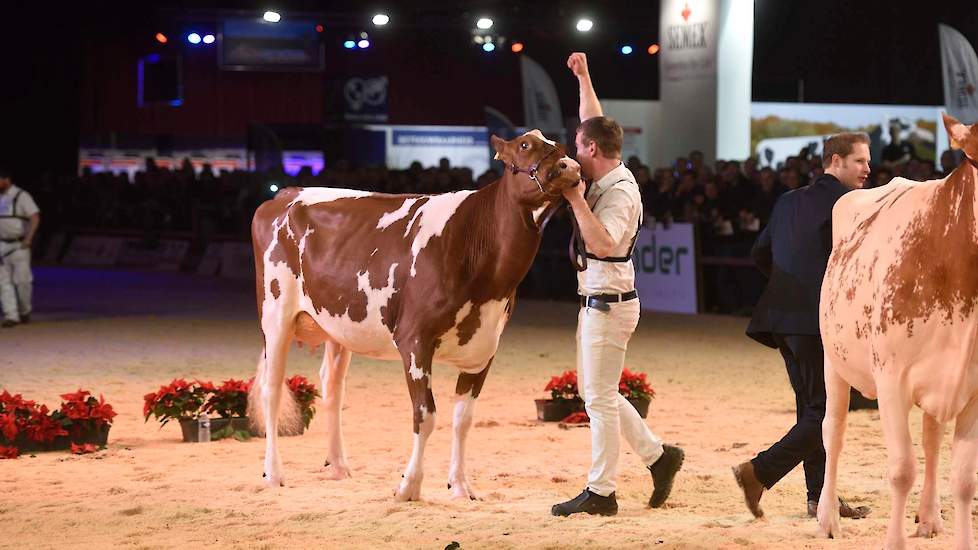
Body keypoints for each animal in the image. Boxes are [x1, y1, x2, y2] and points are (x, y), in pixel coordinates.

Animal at [248, 132, 580, 502]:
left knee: (332, 389)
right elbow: (426, 415)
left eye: (558, 143)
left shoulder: (484, 348)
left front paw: (460, 486)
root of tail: (284, 195)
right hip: (275, 315)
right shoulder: (414, 340)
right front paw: (409, 486)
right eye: (525, 145)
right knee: (272, 390)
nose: (570, 166)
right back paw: (273, 474)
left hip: (338, 326)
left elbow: (463, 419)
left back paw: (338, 466)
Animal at [820, 113, 976, 550]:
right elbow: (903, 469)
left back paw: (929, 518)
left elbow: (964, 479)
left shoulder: (973, 388)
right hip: (833, 360)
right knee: (832, 431)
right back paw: (828, 519)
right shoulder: (891, 380)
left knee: (932, 437)